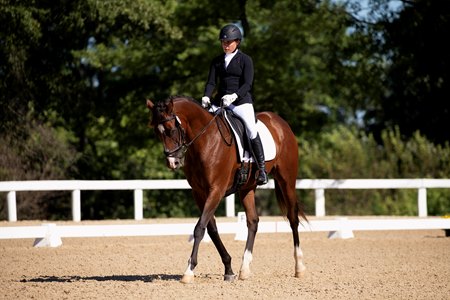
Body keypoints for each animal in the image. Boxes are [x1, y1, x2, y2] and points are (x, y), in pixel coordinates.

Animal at [146, 96, 308, 284]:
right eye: (156, 133)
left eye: (171, 130)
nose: (173, 163)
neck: (205, 140)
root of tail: (280, 121)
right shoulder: (199, 193)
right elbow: (211, 229)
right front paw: (229, 269)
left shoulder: (216, 190)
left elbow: (199, 228)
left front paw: (189, 271)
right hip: (247, 187)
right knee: (253, 221)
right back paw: (244, 269)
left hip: (287, 180)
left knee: (292, 219)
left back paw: (299, 267)